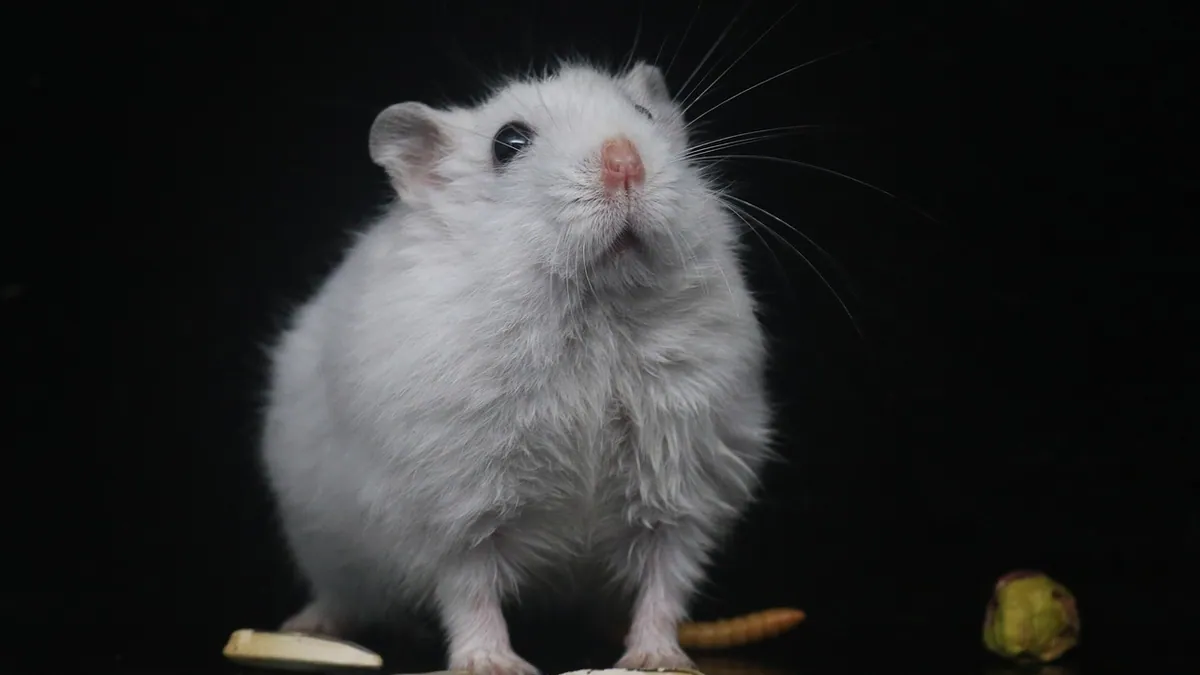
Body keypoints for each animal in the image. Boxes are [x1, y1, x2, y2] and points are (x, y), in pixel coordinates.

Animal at [259, 60, 774, 675]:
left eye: (645, 114)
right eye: (509, 142)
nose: (626, 160)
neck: (596, 310)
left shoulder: (683, 489)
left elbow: (665, 581)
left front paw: (658, 659)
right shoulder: (452, 504)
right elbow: (470, 589)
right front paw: (492, 663)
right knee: (340, 596)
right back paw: (304, 628)